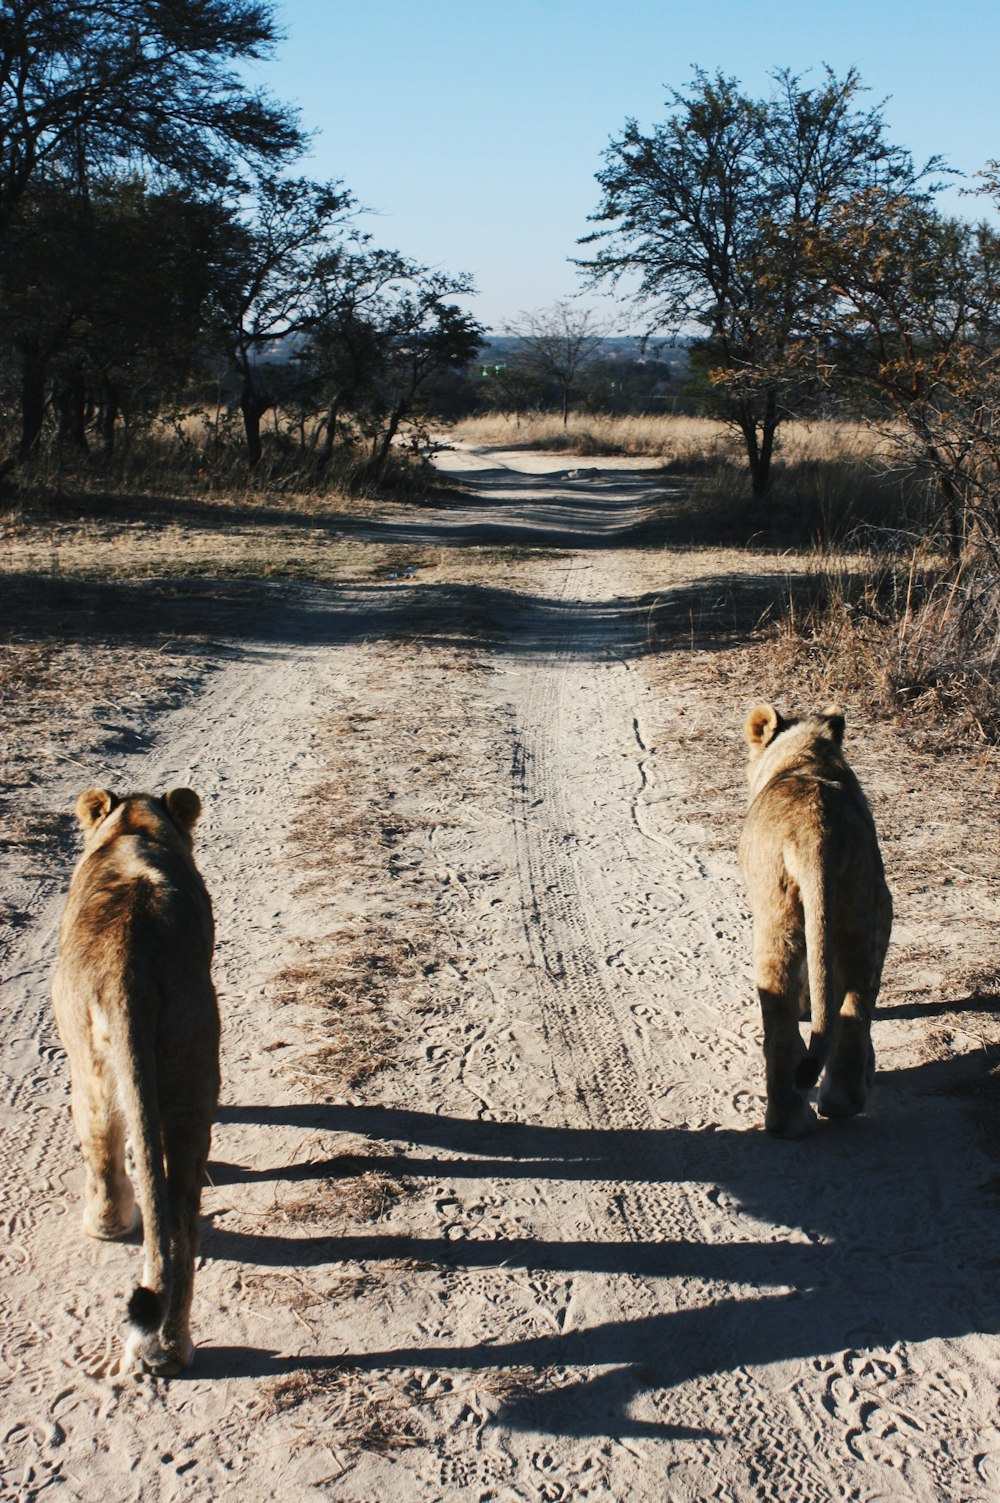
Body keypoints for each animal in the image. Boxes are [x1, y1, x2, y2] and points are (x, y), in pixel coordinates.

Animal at [51, 787, 219, 1376]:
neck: (135, 828)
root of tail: (131, 961)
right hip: (190, 1062)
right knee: (179, 1216)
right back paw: (169, 1348)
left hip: (87, 1064)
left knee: (103, 1148)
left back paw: (105, 1225)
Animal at [733, 709, 890, 1130]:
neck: (805, 754)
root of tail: (816, 829)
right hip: (859, 900)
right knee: (855, 999)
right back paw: (840, 1101)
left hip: (778, 910)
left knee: (781, 1007)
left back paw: (791, 1118)